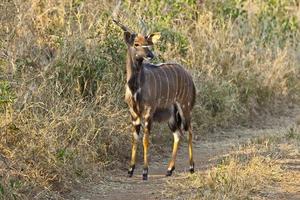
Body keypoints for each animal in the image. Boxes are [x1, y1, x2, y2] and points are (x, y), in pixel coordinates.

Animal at [113, 19, 196, 180]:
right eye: (136, 44)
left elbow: (145, 140)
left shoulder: (148, 113)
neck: (136, 88)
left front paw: (145, 172)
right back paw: (169, 170)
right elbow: (134, 139)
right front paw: (130, 170)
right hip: (172, 115)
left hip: (184, 107)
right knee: (178, 134)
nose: (150, 55)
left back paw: (191, 167)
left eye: (148, 43)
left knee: (189, 131)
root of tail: (189, 76)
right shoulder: (134, 114)